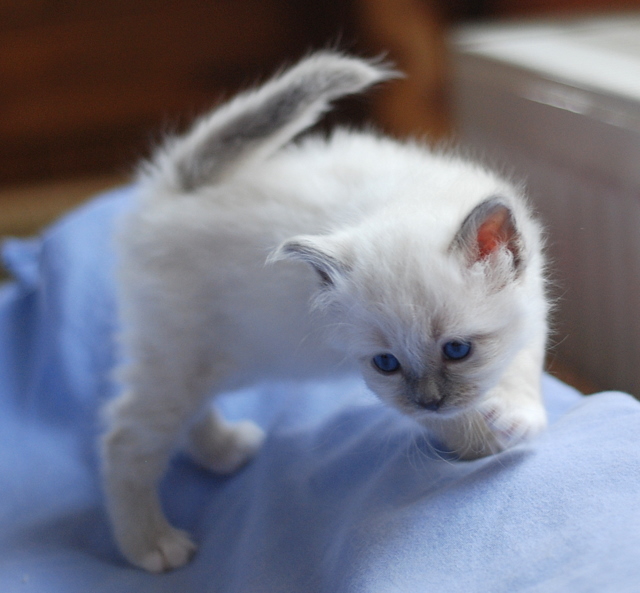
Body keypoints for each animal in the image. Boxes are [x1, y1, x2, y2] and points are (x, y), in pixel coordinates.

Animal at [102, 52, 548, 572]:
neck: (408, 198)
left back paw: (221, 451)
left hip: (226, 358)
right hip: (186, 358)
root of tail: (174, 189)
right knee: (123, 437)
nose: (427, 401)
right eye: (387, 364)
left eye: (457, 350)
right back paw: (151, 544)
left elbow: (522, 365)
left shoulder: (533, 312)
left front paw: (517, 413)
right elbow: (464, 422)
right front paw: (492, 441)